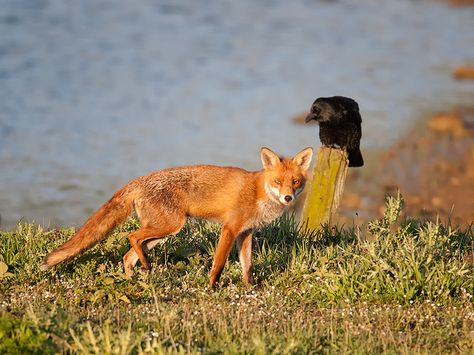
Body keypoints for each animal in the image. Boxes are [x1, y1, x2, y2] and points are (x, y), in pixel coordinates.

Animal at [40, 147, 312, 290]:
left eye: (295, 182)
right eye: (277, 182)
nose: (288, 197)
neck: (258, 192)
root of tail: (139, 180)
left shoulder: (245, 233)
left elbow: (248, 266)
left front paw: (250, 288)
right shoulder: (229, 229)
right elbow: (219, 264)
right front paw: (212, 288)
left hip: (162, 233)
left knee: (127, 255)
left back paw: (133, 281)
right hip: (170, 226)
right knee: (131, 236)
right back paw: (146, 267)